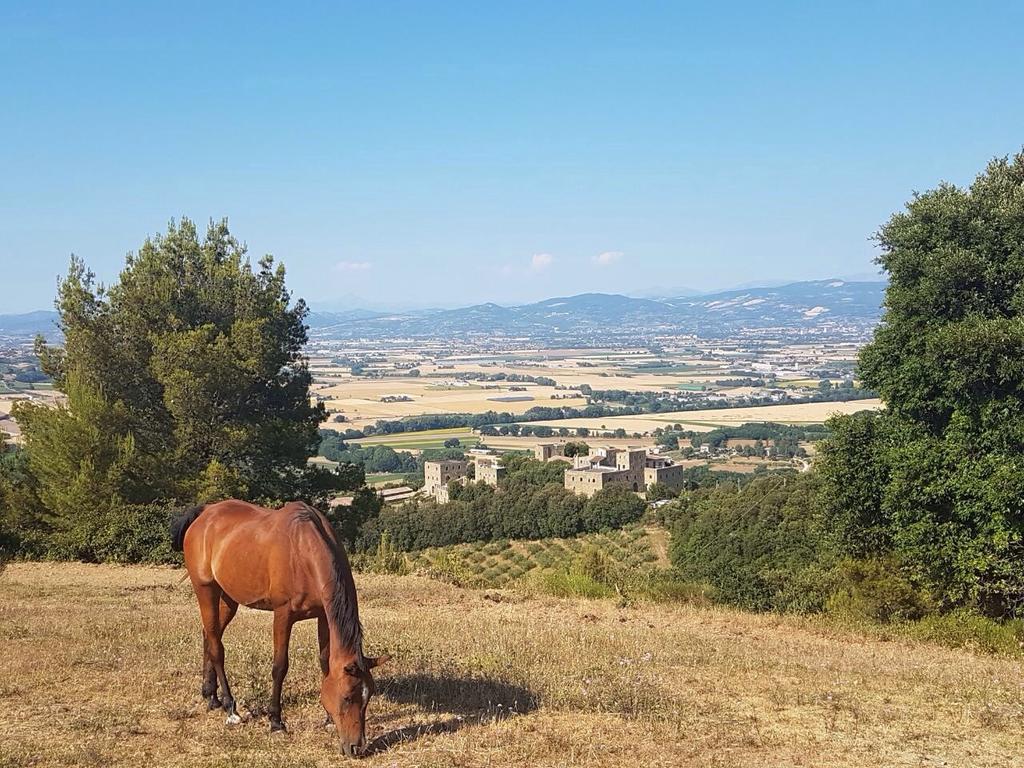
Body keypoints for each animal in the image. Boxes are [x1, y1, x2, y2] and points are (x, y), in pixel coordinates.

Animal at [172, 499, 387, 757]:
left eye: (369, 695)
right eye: (347, 697)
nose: (357, 748)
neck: (302, 551)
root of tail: (204, 514)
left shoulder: (323, 616)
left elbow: (325, 662)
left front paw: (326, 719)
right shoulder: (283, 616)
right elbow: (280, 666)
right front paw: (276, 721)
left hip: (228, 598)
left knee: (209, 635)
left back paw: (211, 696)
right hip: (205, 590)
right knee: (216, 647)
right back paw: (230, 707)